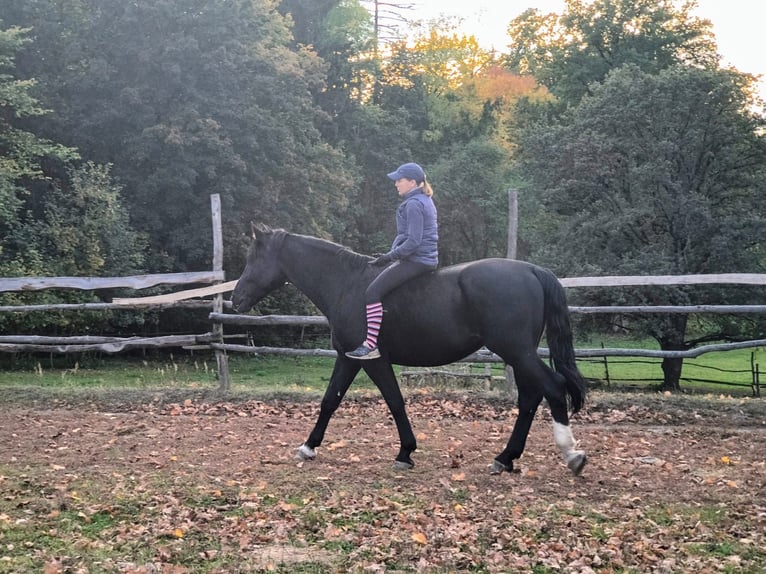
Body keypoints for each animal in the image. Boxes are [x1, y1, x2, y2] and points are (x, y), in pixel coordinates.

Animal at [231, 223, 588, 475]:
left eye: (253, 259)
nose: (235, 299)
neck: (347, 283)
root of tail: (532, 270)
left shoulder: (373, 360)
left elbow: (395, 402)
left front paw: (405, 452)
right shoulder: (348, 359)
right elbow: (330, 401)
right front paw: (308, 447)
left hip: (516, 351)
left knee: (552, 387)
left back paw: (571, 454)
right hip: (519, 353)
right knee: (530, 397)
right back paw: (505, 458)